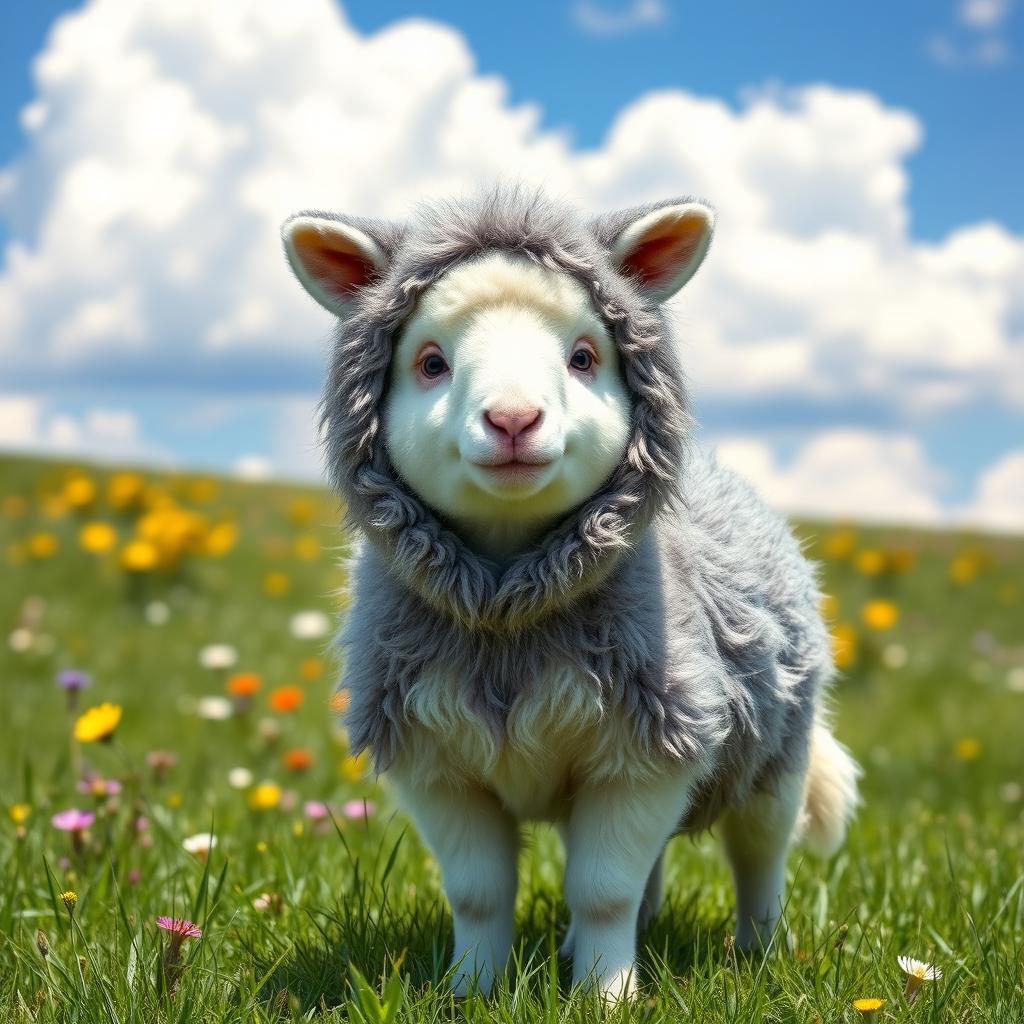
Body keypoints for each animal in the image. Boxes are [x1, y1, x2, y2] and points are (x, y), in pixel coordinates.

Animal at [281, 185, 860, 1002]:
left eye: (583, 357)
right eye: (431, 362)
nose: (513, 419)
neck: (507, 614)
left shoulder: (649, 751)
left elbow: (602, 890)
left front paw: (607, 997)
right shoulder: (438, 763)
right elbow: (480, 893)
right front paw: (473, 992)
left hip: (775, 756)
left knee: (759, 860)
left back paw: (757, 953)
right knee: (655, 867)